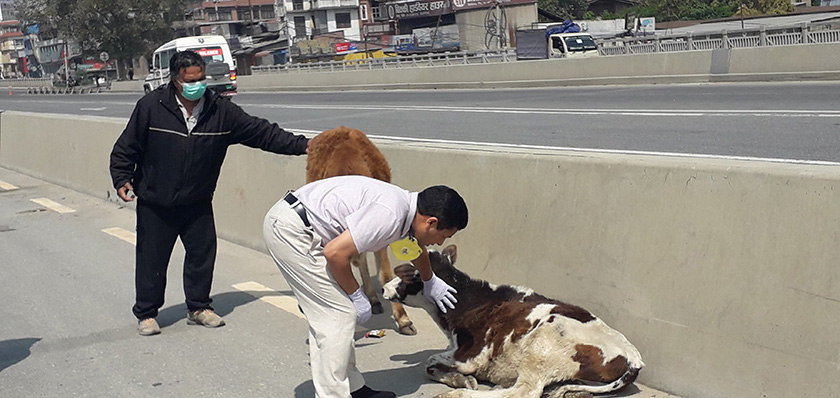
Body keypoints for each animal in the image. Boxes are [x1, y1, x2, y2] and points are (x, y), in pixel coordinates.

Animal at [384, 246, 648, 398]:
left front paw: (462, 380)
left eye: (407, 273)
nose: (385, 287)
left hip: (543, 343)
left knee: (524, 392)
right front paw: (463, 379)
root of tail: (633, 357)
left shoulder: (470, 354)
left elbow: (429, 362)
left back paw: (457, 394)